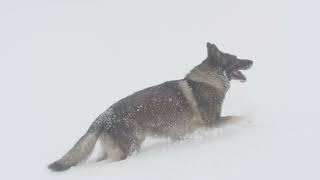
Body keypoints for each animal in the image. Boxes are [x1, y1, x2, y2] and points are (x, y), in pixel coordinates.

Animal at [47, 43, 252, 171]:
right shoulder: (213, 123)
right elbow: (239, 118)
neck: (208, 80)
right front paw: (251, 121)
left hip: (117, 150)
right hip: (128, 150)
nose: (252, 61)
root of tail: (102, 116)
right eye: (236, 58)